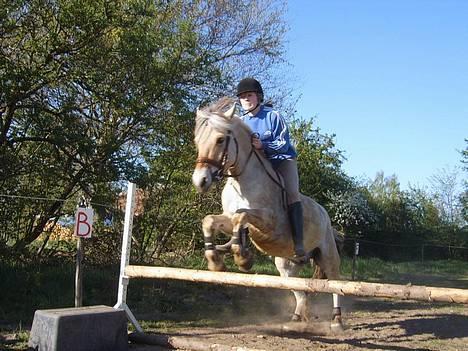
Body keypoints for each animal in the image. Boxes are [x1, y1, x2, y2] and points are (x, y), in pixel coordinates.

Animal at [191, 97, 344, 332]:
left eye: (220, 140)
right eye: (197, 140)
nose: (200, 181)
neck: (241, 180)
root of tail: (323, 212)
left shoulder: (269, 223)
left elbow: (241, 216)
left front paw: (242, 258)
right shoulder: (227, 217)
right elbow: (211, 220)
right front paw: (216, 261)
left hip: (327, 254)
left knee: (335, 283)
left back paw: (336, 320)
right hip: (285, 264)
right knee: (299, 288)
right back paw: (297, 317)